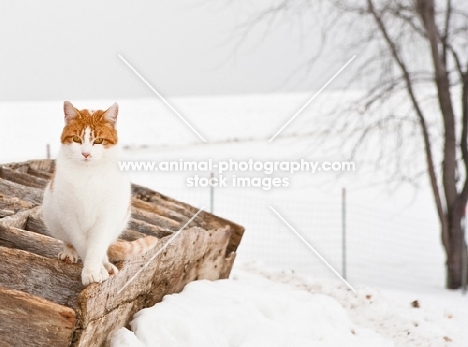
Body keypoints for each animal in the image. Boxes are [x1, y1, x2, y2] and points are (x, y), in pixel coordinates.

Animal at [41, 102, 157, 286]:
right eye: (76, 139)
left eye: (99, 141)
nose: (86, 154)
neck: (88, 174)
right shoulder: (69, 214)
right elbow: (82, 244)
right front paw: (95, 271)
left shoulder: (106, 216)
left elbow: (96, 247)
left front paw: (95, 270)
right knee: (68, 241)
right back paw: (69, 253)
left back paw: (106, 264)